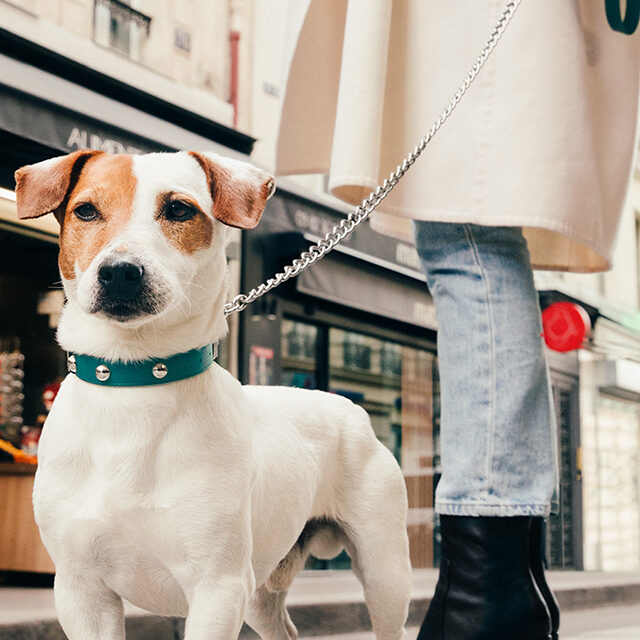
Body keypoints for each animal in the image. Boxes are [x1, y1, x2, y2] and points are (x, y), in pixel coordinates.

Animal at [17, 151, 412, 640]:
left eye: (179, 209)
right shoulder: (80, 592)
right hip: (262, 588)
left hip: (384, 570)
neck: (135, 384)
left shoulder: (218, 587)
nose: (120, 272)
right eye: (86, 211)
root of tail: (348, 407)